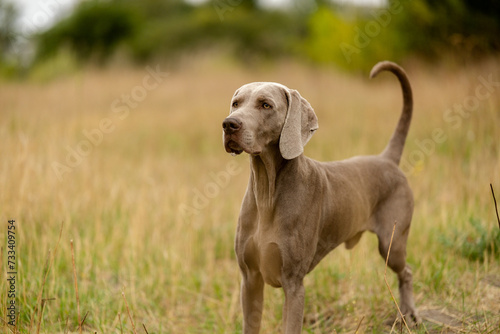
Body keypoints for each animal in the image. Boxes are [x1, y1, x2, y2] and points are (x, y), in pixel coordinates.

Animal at [221, 61, 420, 332]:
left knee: (406, 271)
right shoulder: (250, 278)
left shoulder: (293, 283)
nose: (229, 124)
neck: (267, 192)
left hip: (392, 242)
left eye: (265, 105)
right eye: (236, 103)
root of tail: (386, 159)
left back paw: (408, 314)